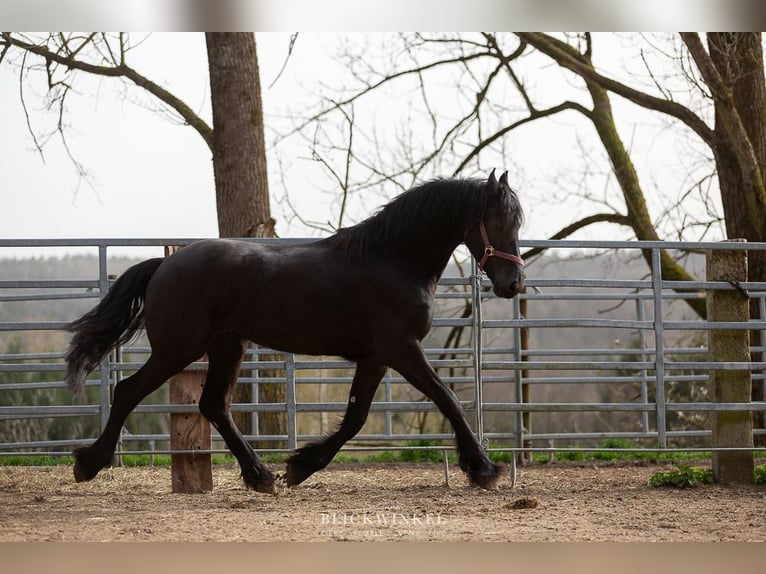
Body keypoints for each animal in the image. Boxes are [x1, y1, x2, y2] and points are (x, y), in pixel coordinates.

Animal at [65, 169, 525, 493]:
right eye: (500, 221)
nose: (513, 284)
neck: (392, 259)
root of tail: (165, 264)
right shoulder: (401, 349)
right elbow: (448, 400)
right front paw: (484, 469)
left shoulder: (375, 358)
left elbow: (356, 417)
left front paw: (300, 466)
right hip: (179, 348)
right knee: (129, 391)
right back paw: (88, 463)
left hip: (227, 346)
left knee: (213, 405)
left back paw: (260, 476)